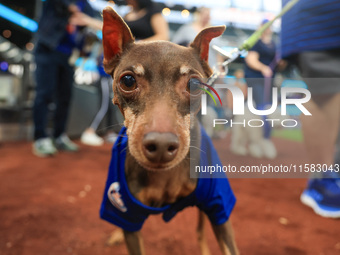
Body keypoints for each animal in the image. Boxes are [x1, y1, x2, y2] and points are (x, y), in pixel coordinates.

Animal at [100, 6, 239, 254]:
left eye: (194, 85)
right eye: (128, 80)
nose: (162, 145)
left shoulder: (219, 206)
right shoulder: (126, 214)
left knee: (200, 230)